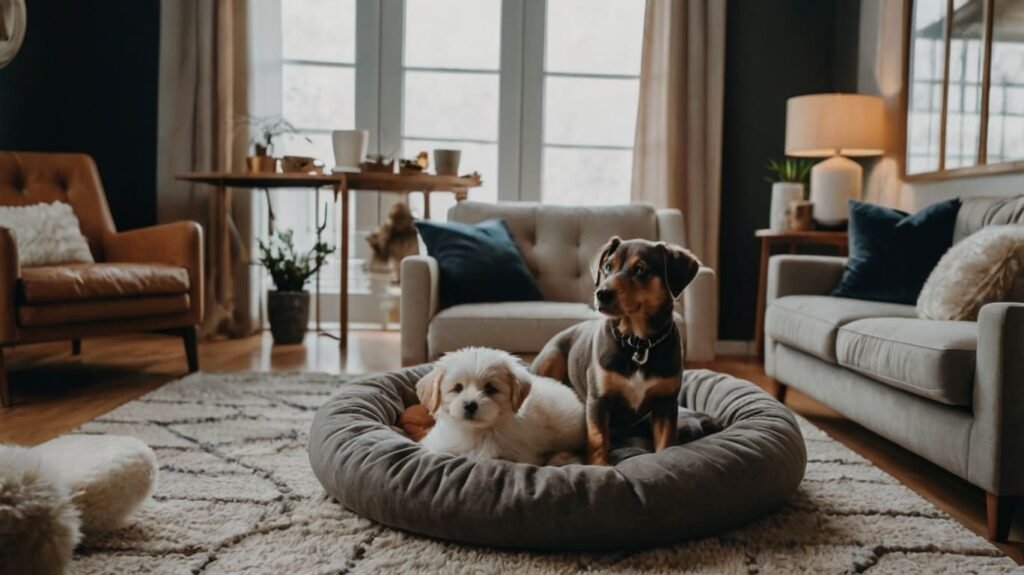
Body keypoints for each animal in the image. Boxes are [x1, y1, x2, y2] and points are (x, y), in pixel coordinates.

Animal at [415, 347, 589, 462]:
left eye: (490, 388)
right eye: (458, 388)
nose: (470, 405)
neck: (478, 432)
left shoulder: (521, 455)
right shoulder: (439, 446)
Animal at [532, 235, 716, 462]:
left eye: (641, 270)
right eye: (607, 267)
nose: (601, 294)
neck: (638, 342)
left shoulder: (666, 403)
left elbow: (665, 443)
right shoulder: (599, 400)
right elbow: (598, 440)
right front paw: (600, 465)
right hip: (552, 358)